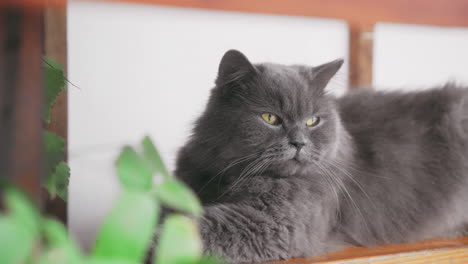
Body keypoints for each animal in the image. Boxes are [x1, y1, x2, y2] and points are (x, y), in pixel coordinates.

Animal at [174, 50, 468, 264]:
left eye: (312, 121)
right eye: (270, 118)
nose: (299, 143)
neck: (229, 173)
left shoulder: (271, 223)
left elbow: (192, 229)